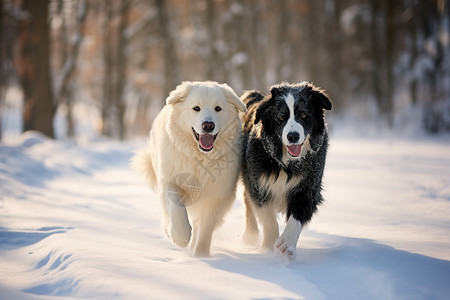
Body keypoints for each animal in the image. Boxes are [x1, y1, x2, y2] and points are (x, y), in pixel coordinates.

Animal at [132, 81, 246, 256]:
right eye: (196, 108)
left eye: (218, 108)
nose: (208, 125)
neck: (200, 157)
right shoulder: (170, 181)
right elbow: (176, 209)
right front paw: (180, 237)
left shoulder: (217, 197)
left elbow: (205, 229)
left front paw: (200, 255)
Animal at [241, 81, 332, 260]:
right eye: (281, 118)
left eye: (303, 115)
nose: (293, 136)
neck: (287, 163)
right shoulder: (259, 183)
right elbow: (268, 217)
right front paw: (268, 248)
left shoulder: (308, 186)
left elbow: (296, 217)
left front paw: (286, 244)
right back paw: (250, 234)